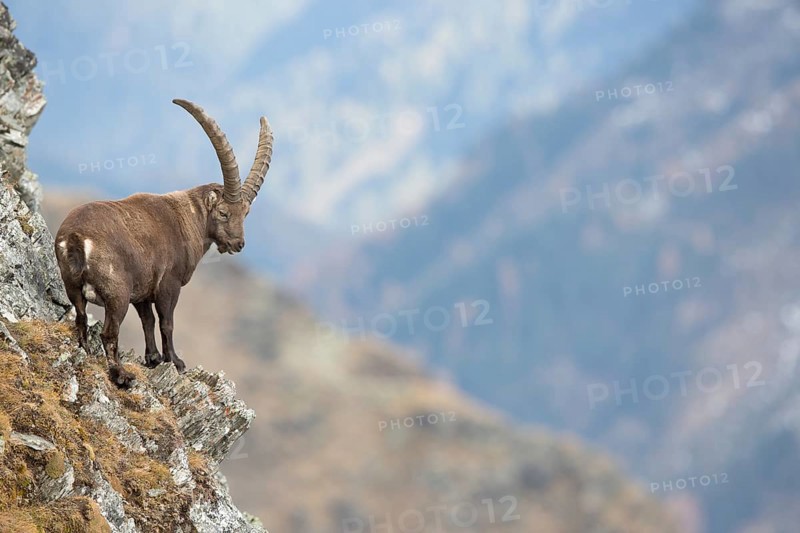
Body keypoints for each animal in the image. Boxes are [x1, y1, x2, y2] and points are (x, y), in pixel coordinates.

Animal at [55, 99, 273, 388]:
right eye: (224, 212)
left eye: (246, 213)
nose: (238, 244)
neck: (188, 217)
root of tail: (75, 238)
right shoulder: (169, 284)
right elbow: (166, 322)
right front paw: (175, 361)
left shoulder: (143, 290)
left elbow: (147, 320)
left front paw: (153, 358)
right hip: (117, 294)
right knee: (108, 333)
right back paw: (121, 375)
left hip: (74, 287)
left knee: (80, 319)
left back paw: (86, 352)